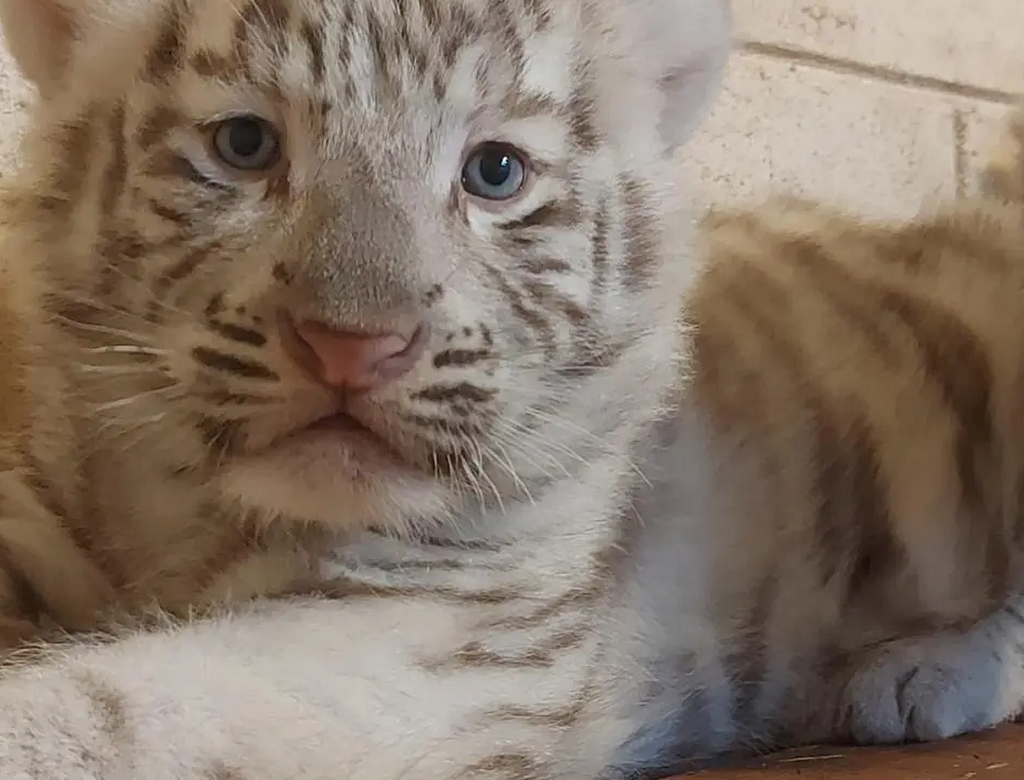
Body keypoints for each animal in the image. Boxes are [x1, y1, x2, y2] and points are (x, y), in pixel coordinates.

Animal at [0, 0, 1023, 778]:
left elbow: (126, 706)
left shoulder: (452, 636)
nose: (353, 347)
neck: (174, 508)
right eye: (245, 145)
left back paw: (919, 677)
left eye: (495, 173)